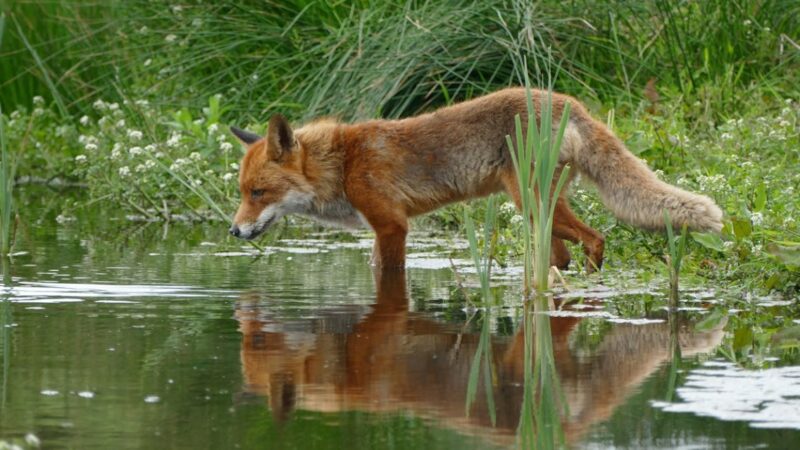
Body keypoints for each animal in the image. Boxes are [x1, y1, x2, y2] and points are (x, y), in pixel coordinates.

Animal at [228, 89, 720, 268]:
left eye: (259, 192)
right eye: (242, 193)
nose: (233, 231)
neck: (343, 164)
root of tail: (569, 102)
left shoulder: (392, 226)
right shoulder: (381, 229)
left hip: (531, 203)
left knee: (596, 238)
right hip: (540, 212)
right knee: (563, 255)